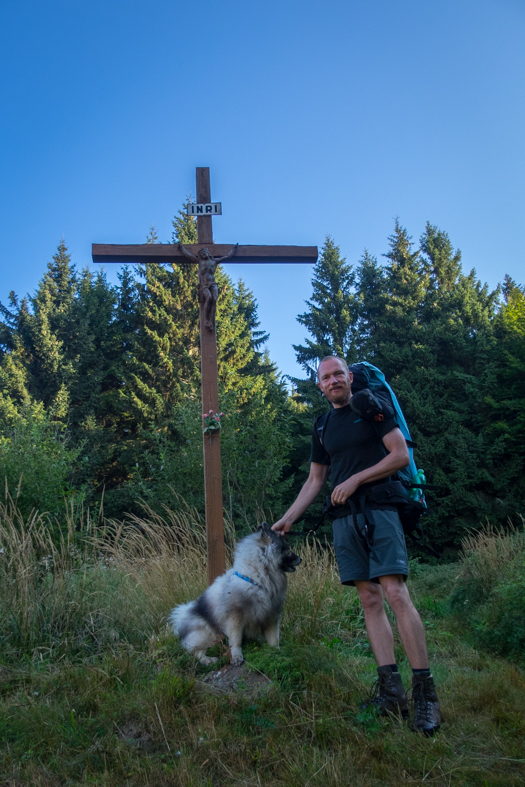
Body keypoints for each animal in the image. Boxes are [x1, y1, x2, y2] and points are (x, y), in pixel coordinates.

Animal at [170, 524, 300, 664]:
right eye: (286, 548)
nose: (300, 558)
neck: (258, 578)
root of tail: (181, 618)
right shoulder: (235, 618)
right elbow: (236, 640)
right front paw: (237, 656)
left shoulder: (271, 615)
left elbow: (273, 638)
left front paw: (276, 651)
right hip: (208, 633)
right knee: (196, 651)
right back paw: (208, 660)